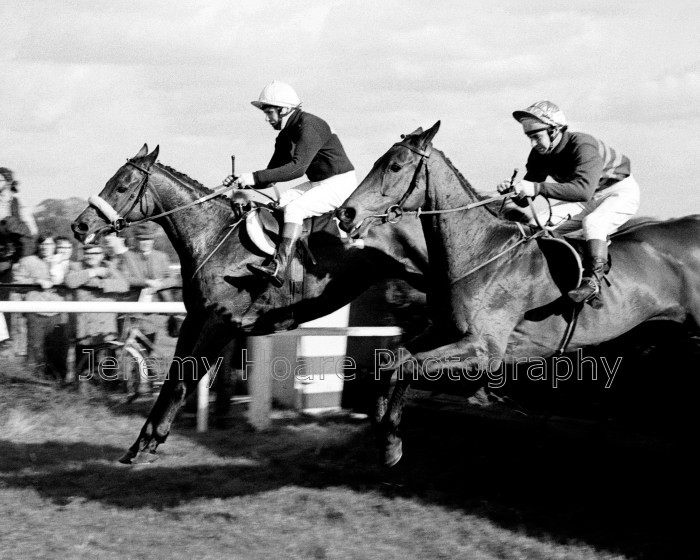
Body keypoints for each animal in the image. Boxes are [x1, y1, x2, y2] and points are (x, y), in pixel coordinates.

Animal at [69, 143, 426, 464]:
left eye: (122, 186)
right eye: (111, 181)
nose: (79, 225)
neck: (213, 237)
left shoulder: (221, 324)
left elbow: (184, 380)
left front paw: (150, 443)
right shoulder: (195, 319)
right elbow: (172, 380)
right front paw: (141, 443)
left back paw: (388, 429)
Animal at [338, 122, 700, 468]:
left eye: (395, 166)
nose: (346, 213)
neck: (480, 253)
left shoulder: (485, 349)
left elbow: (408, 366)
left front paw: (390, 441)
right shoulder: (445, 330)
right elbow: (392, 359)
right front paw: (385, 434)